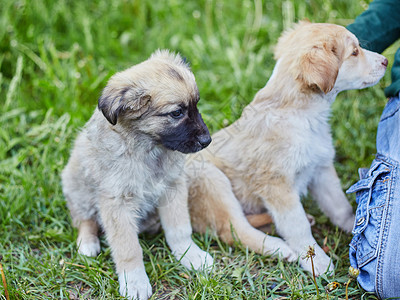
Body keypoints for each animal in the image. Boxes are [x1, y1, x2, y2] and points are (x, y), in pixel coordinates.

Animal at [61, 50, 214, 298]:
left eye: (196, 105)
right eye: (177, 113)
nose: (207, 141)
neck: (147, 149)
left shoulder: (172, 187)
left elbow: (180, 229)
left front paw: (191, 255)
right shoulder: (116, 204)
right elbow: (128, 249)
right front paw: (134, 282)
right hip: (77, 187)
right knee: (85, 219)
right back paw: (87, 243)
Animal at [185, 22, 388, 276]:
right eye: (354, 52)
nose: (386, 61)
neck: (303, 116)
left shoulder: (321, 169)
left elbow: (339, 206)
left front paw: (356, 226)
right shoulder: (276, 184)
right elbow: (297, 226)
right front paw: (316, 261)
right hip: (211, 181)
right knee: (233, 230)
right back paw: (279, 248)